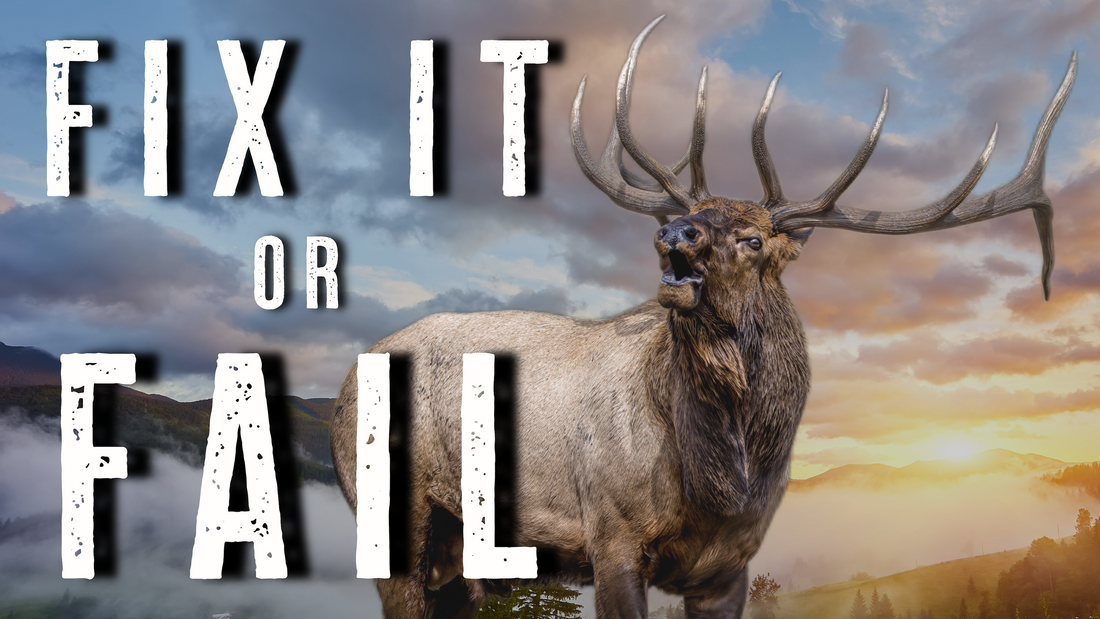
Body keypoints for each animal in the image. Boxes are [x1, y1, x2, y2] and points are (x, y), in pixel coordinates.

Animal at [331, 16, 1076, 619]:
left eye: (753, 240)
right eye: (684, 219)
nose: (674, 234)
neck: (725, 482)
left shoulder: (730, 566)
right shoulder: (610, 534)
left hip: (460, 553)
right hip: (391, 517)